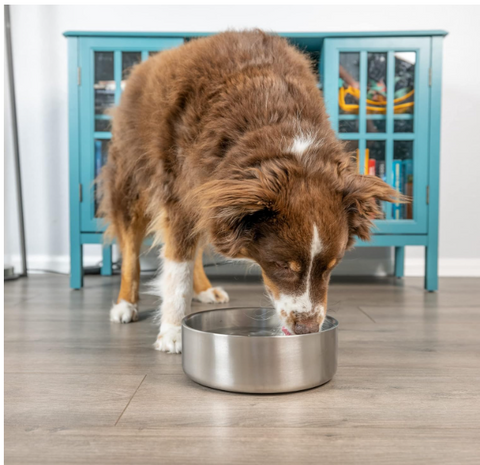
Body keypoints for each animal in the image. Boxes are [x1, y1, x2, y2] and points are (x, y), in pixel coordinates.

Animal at [98, 29, 402, 352]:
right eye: (282, 265)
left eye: (332, 266)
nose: (307, 330)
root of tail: (143, 65)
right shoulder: (183, 196)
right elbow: (177, 268)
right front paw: (172, 332)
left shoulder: (212, 197)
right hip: (132, 178)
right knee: (131, 248)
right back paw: (125, 304)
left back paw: (204, 290)